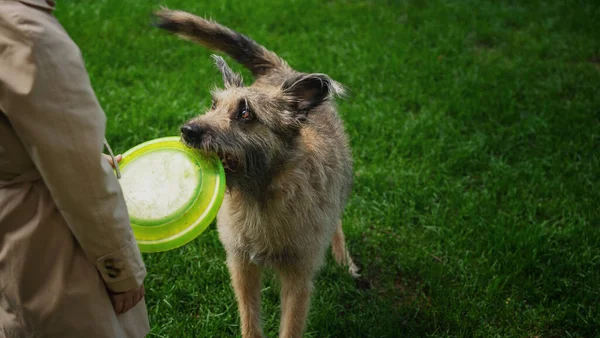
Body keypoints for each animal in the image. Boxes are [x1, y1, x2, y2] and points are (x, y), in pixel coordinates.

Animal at [155, 8, 358, 338]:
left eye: (245, 113)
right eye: (213, 104)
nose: (188, 131)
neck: (260, 196)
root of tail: (281, 72)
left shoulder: (298, 277)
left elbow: (290, 326)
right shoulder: (241, 265)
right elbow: (250, 318)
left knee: (337, 219)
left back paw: (343, 258)